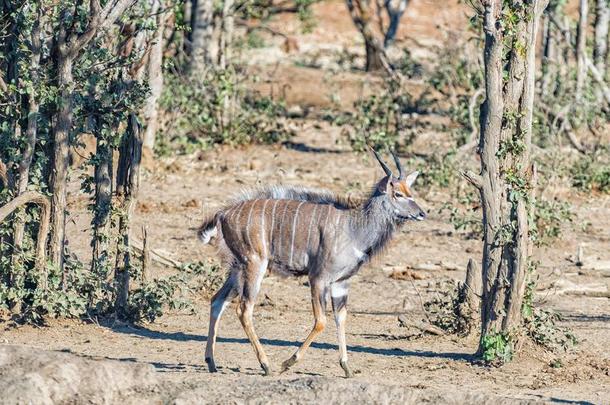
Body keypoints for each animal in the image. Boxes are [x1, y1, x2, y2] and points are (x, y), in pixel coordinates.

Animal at [197, 150, 426, 378]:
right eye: (398, 194)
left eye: (410, 190)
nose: (422, 213)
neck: (354, 227)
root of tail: (223, 214)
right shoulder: (318, 278)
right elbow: (321, 321)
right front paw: (288, 362)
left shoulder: (341, 284)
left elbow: (341, 318)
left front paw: (346, 367)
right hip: (254, 265)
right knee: (244, 309)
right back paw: (266, 365)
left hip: (237, 269)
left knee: (217, 301)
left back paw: (211, 362)